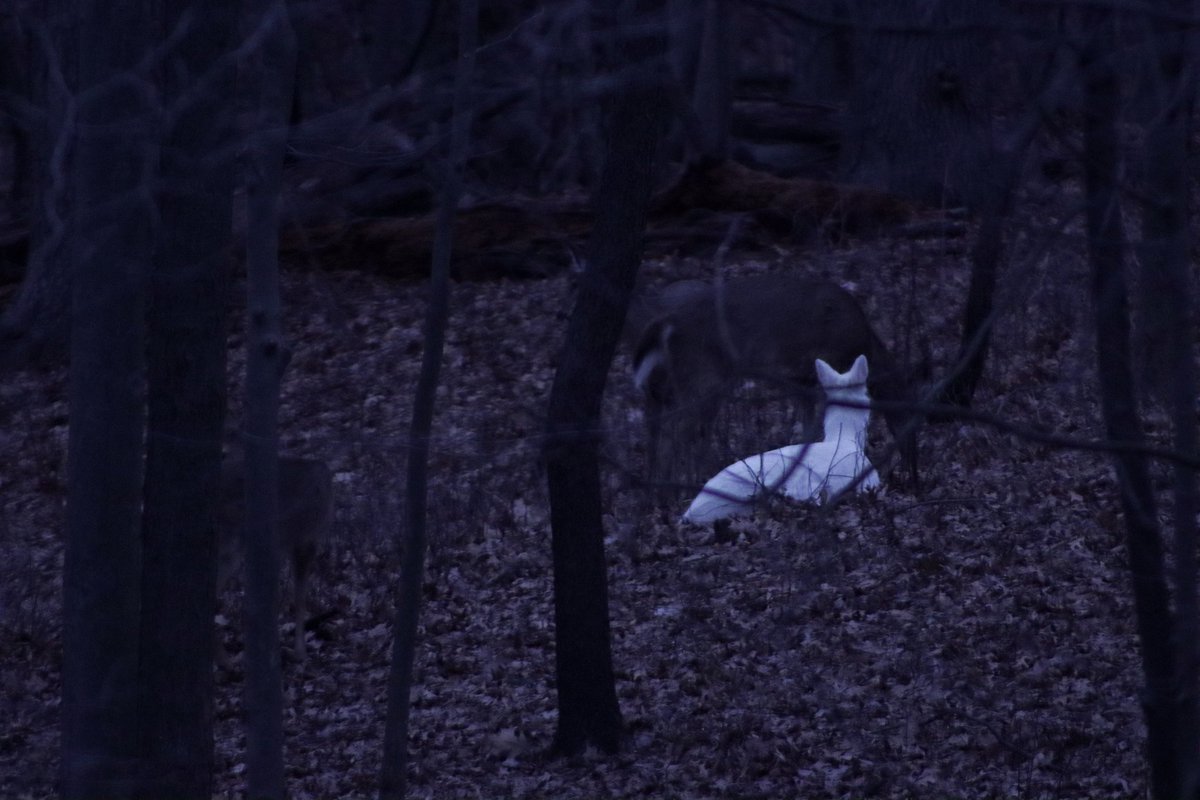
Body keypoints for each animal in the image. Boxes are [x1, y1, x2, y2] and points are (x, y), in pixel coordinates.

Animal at [630, 273, 919, 493]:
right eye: (908, 415)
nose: (914, 475)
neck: (864, 343)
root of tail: (667, 320)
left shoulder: (802, 378)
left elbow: (807, 428)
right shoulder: (829, 366)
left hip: (677, 383)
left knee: (662, 427)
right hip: (704, 376)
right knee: (678, 431)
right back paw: (675, 489)